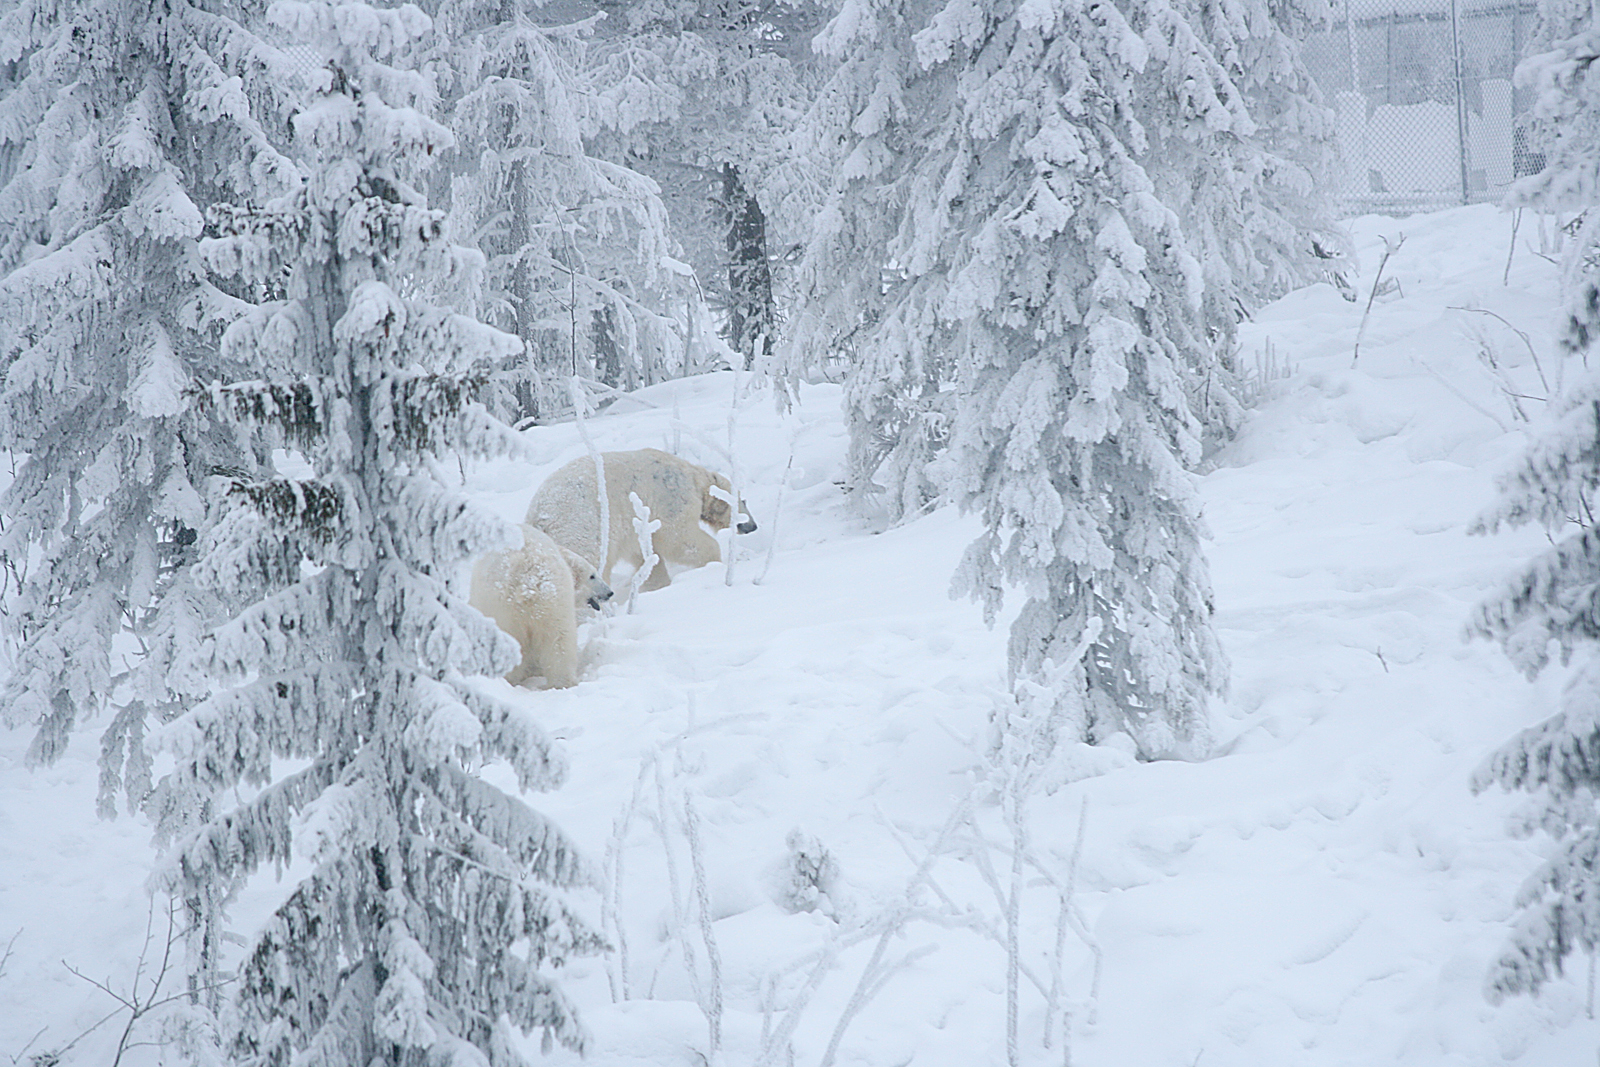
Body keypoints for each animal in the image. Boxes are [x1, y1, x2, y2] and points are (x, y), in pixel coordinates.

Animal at [468, 524, 613, 688]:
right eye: (592, 576)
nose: (609, 592)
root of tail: (528, 577)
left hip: (511, 608)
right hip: (551, 601)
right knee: (559, 639)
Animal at [526, 447, 755, 593]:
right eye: (742, 501)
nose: (752, 526)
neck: (693, 478)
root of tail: (539, 519)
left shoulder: (635, 527)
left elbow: (646, 555)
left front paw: (656, 585)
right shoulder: (670, 500)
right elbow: (679, 540)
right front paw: (713, 563)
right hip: (583, 529)